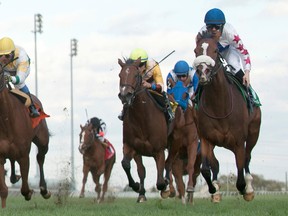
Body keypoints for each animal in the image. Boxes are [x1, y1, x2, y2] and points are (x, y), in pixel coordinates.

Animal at [0, 63, 51, 208]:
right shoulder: (0, 155)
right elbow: (3, 189)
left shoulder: (24, 154)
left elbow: (24, 189)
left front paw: (29, 192)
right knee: (13, 160)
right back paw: (14, 177)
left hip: (43, 141)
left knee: (40, 158)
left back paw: (44, 190)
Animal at [118, 57, 170, 202]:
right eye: (120, 75)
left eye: (136, 75)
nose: (125, 95)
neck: (142, 118)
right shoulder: (131, 146)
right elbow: (128, 165)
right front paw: (137, 188)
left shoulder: (159, 150)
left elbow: (160, 181)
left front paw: (165, 187)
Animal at [192, 32, 262, 202]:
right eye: (196, 51)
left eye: (216, 50)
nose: (203, 73)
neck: (219, 107)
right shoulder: (206, 138)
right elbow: (206, 168)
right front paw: (213, 189)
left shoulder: (239, 141)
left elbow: (240, 172)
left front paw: (245, 188)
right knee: (216, 164)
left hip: (253, 133)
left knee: (247, 157)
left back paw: (249, 188)